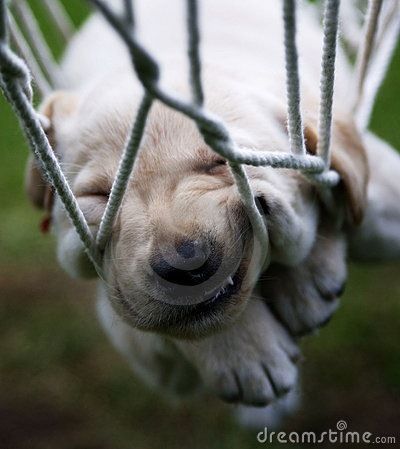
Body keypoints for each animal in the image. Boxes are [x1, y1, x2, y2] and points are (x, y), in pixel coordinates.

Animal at [25, 0, 400, 416]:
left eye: (221, 163)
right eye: (100, 195)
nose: (183, 264)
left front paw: (310, 276)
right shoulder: (146, 349)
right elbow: (168, 326)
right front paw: (244, 350)